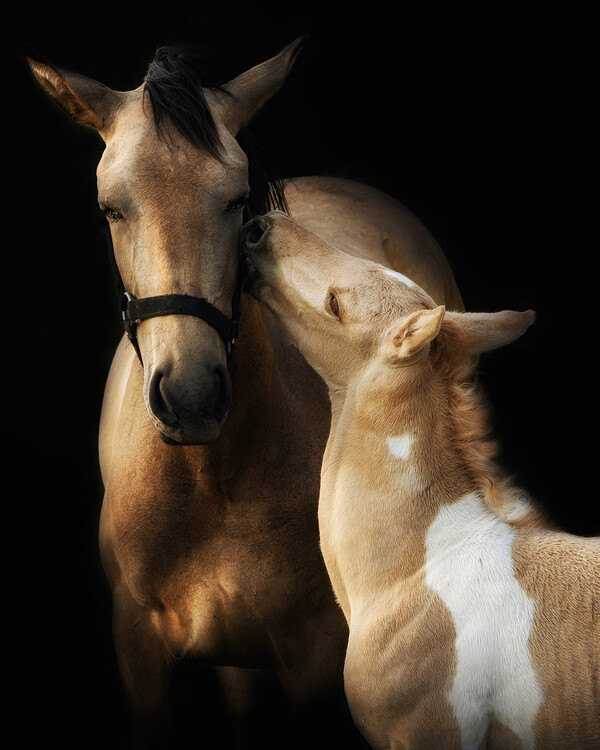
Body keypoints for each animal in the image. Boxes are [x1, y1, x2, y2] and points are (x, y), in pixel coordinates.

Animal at [26, 40, 465, 748]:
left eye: (236, 200)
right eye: (110, 208)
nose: (191, 393)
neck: (213, 478)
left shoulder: (314, 656)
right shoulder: (140, 653)